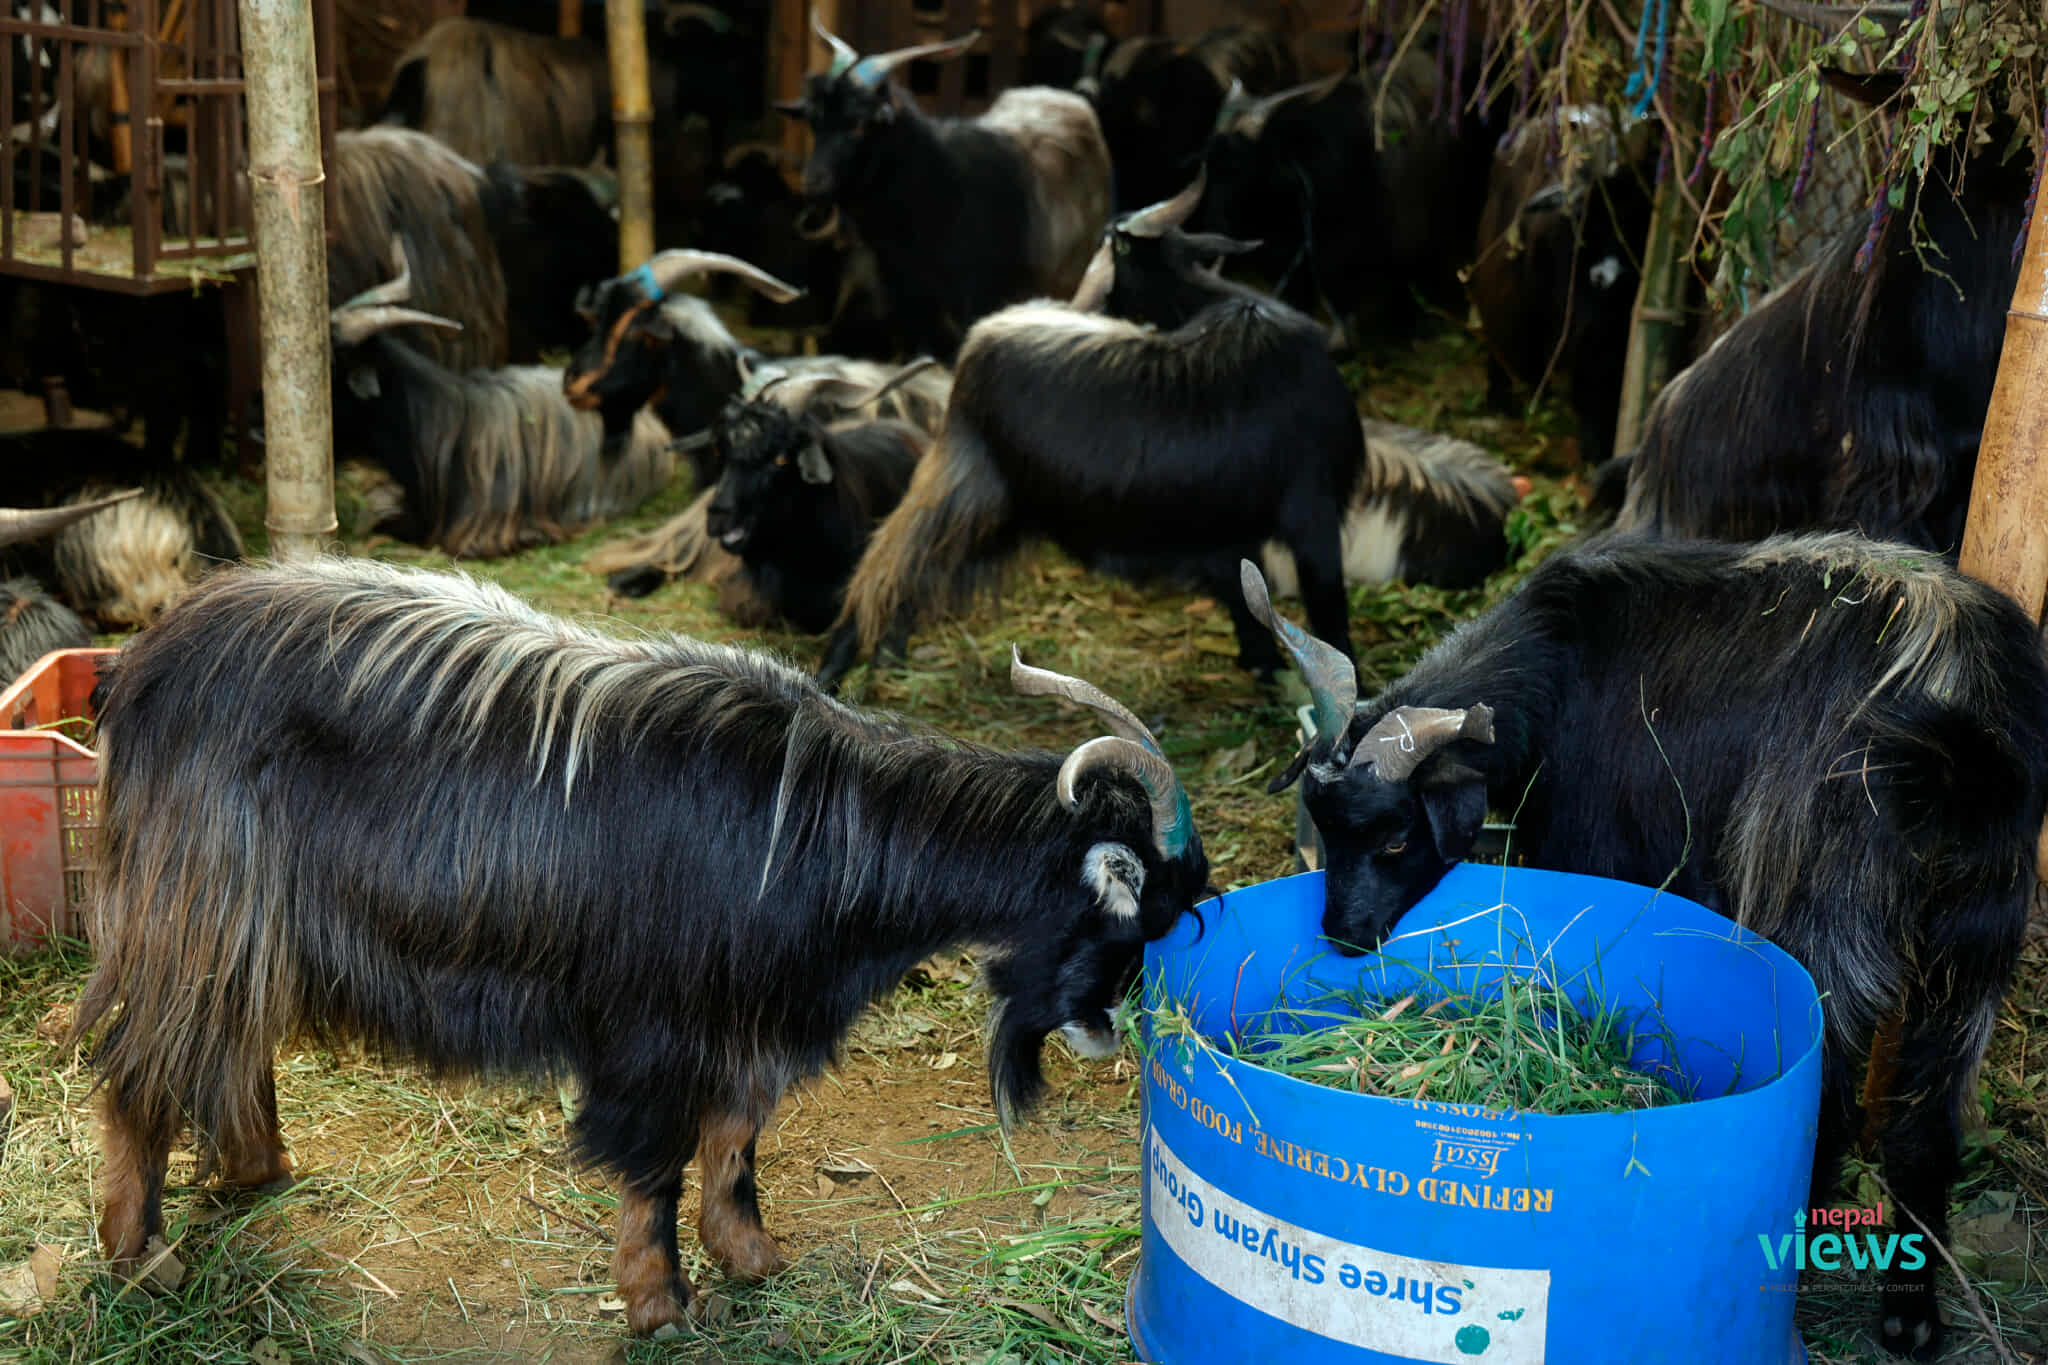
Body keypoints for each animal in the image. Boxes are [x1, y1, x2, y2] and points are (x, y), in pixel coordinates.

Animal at [70, 554, 1210, 1336]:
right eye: (1141, 913)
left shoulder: (749, 1017)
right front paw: (659, 1300)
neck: (824, 826)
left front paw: (750, 1254)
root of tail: (139, 663)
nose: (1107, 1032)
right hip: (193, 903)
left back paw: (258, 1166)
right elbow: (657, 1158)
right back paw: (139, 1255)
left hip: (247, 927)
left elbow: (737, 1137)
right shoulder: (653, 1023)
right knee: (136, 1066)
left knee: (228, 1043)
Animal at [774, 21, 1112, 362]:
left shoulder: (976, 303)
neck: (939, 186)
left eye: (859, 124)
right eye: (814, 121)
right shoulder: (907, 307)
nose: (813, 183)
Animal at [817, 173, 1363, 693]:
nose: (1089, 298)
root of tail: (980, 340)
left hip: (1007, 510)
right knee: (884, 571)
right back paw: (830, 675)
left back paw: (878, 660)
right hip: (963, 486)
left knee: (915, 580)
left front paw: (1265, 669)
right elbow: (1328, 615)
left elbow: (1250, 603)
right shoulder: (1311, 514)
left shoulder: (1231, 532)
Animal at [1243, 533, 2048, 1361]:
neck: (1561, 652)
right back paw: (1911, 1316)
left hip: (1827, 925)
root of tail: (1961, 731)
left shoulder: (1603, 849)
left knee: (1826, 1100)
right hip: (1973, 947)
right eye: (1323, 824)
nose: (1342, 934)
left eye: (1398, 837)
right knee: (1925, 1128)